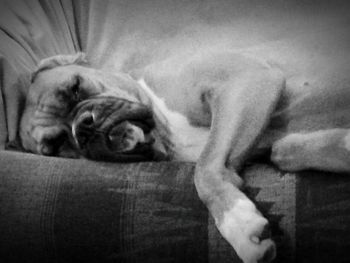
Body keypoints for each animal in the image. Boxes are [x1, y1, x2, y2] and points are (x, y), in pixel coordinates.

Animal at [20, 46, 350, 263]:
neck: (167, 134)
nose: (83, 127)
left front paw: (238, 223)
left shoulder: (250, 78)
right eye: (56, 145)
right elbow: (284, 151)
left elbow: (205, 168)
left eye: (75, 87)